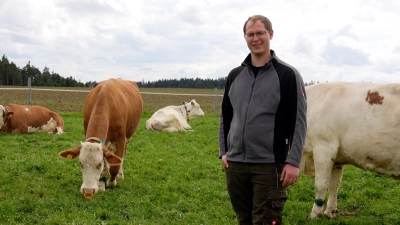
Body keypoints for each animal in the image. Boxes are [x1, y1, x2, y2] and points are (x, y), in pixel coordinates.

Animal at [300, 82, 400, 218]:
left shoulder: (324, 147)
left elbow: (320, 184)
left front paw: (314, 214)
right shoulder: (337, 157)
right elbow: (334, 185)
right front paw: (330, 212)